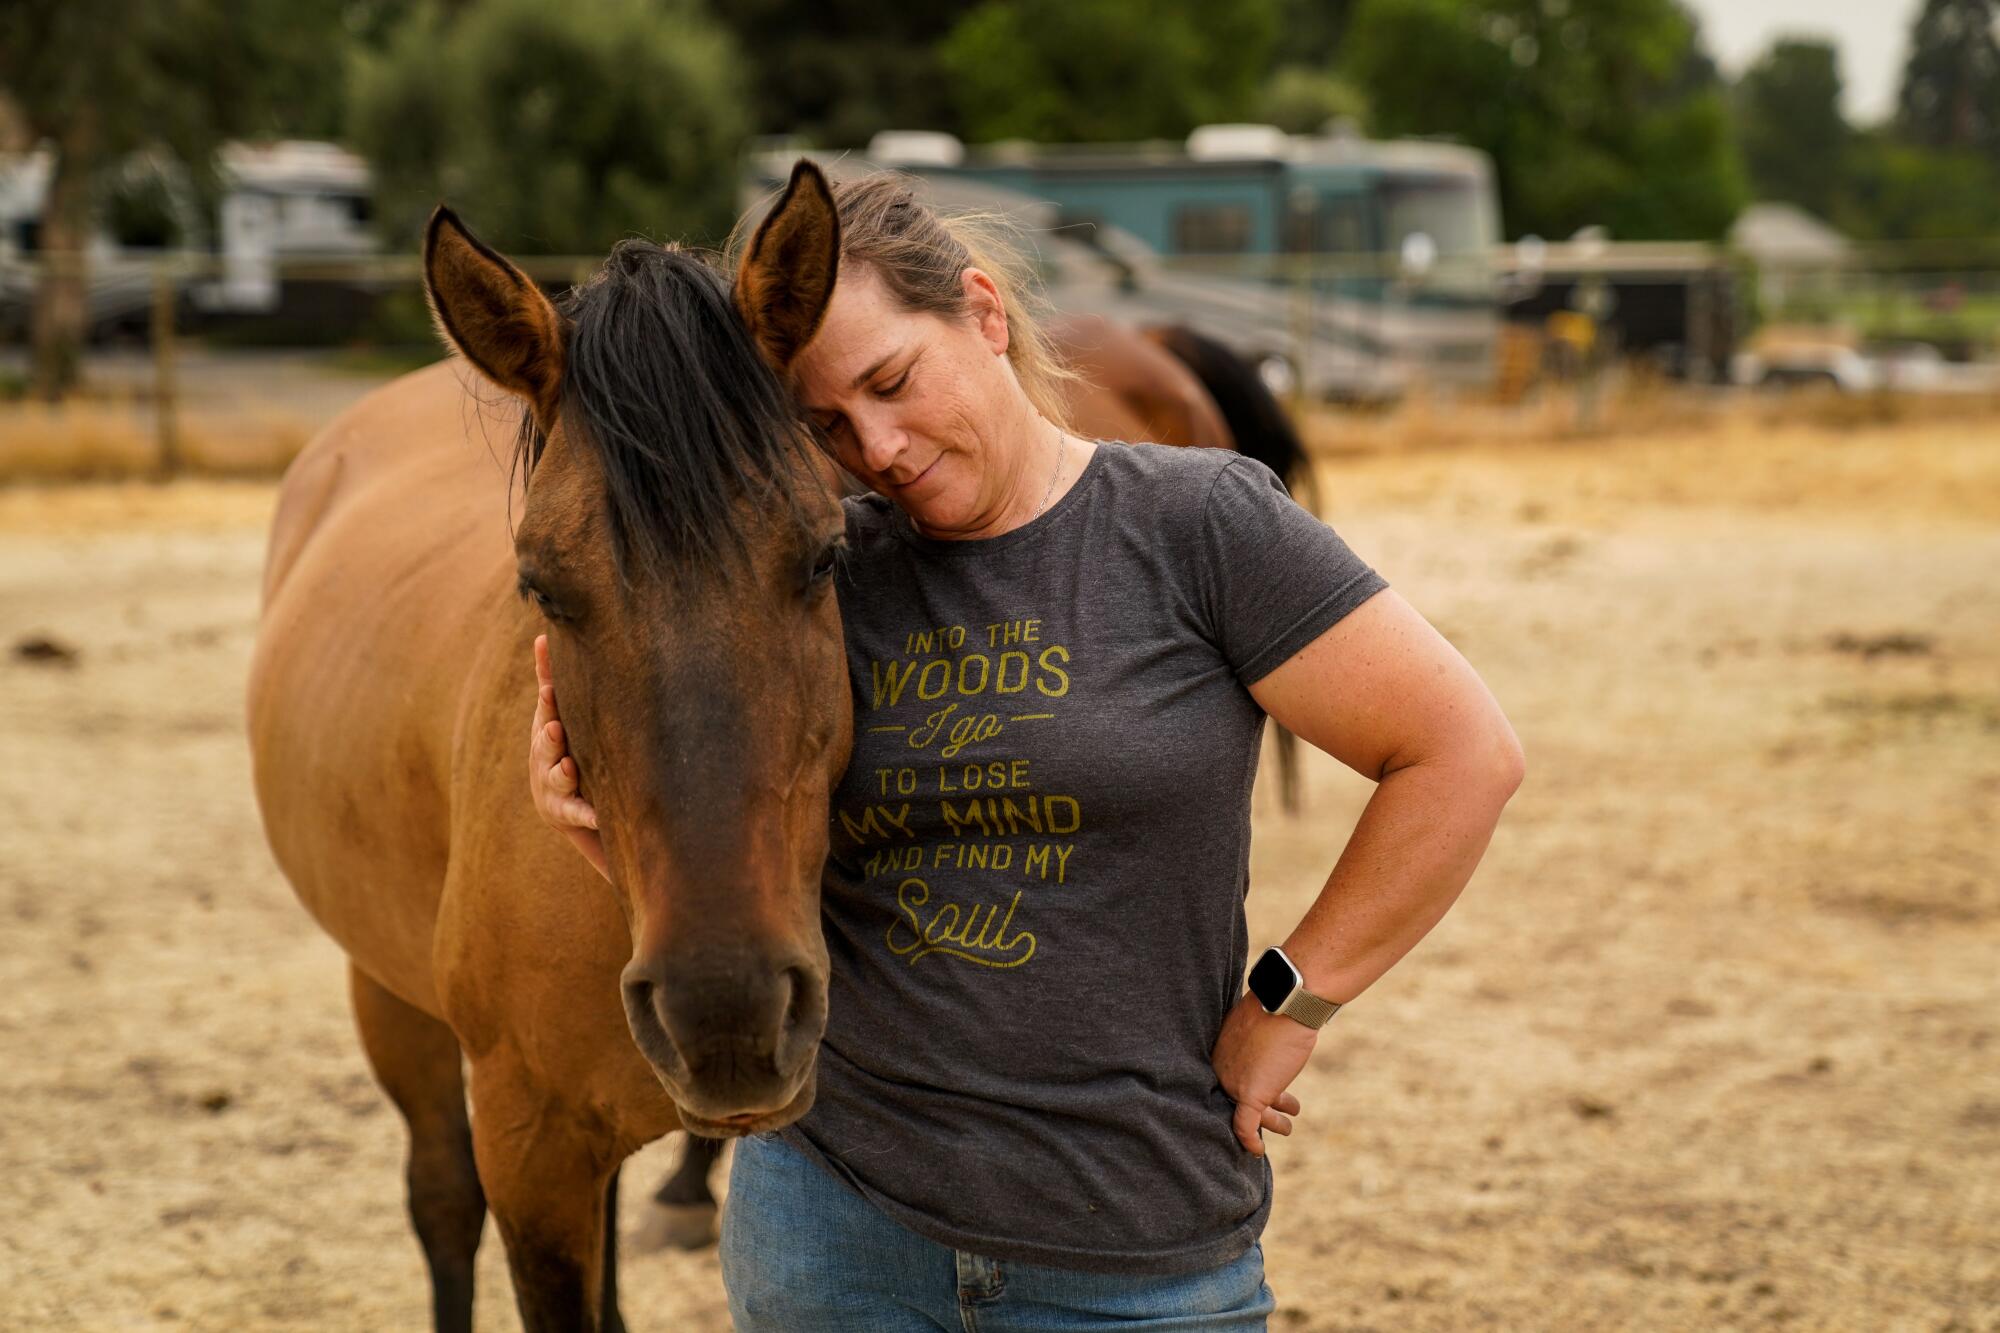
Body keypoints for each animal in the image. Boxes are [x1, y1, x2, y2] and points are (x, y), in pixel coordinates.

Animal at [246, 161, 848, 1320]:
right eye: (540, 585)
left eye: (825, 554)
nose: (728, 1010)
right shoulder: (530, 1154)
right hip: (389, 995)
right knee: (441, 1202)